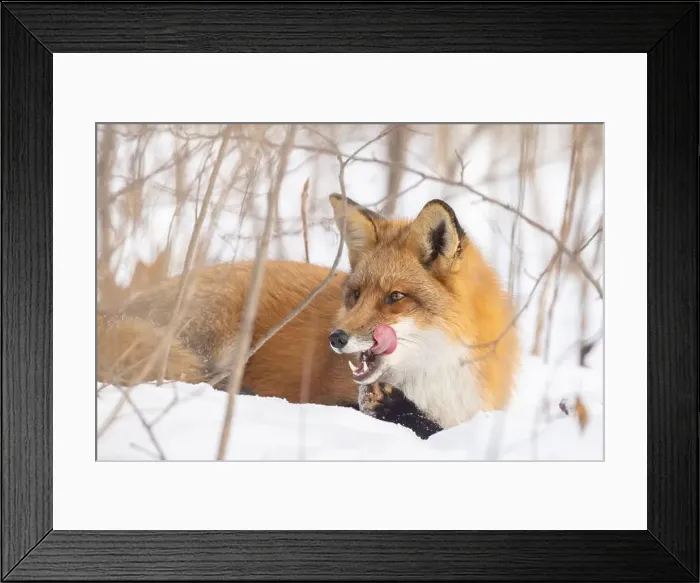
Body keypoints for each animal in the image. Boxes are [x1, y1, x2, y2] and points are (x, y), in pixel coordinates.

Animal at [96, 194, 520, 438]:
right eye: (355, 295)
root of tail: (116, 312)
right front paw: (398, 410)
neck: (436, 376)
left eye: (395, 298)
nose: (337, 338)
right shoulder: (329, 396)